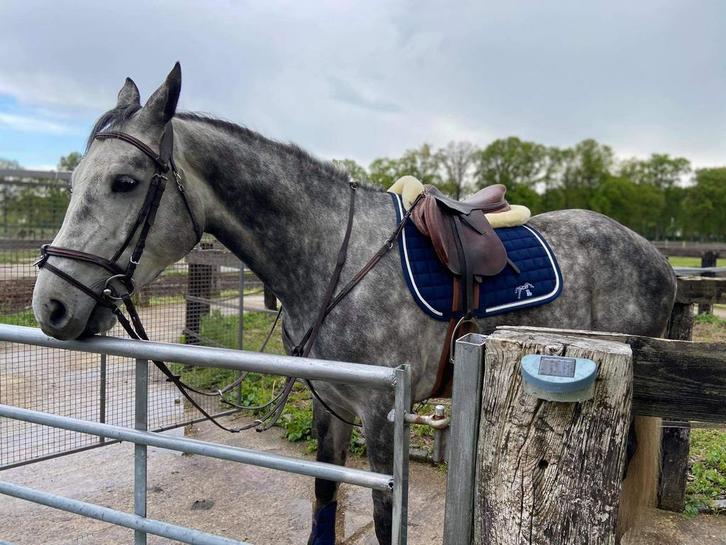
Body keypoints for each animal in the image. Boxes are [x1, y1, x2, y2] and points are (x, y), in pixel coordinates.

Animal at [32, 64, 676, 544]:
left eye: (124, 182)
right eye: (74, 182)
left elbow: (385, 515)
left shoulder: (381, 412)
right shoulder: (331, 405)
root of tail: (659, 258)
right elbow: (325, 495)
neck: (331, 258)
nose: (52, 307)